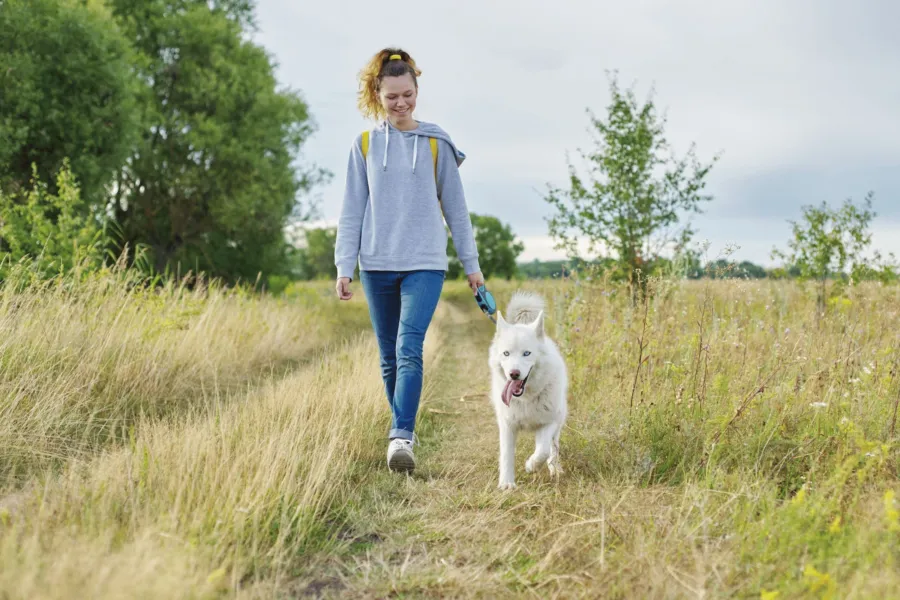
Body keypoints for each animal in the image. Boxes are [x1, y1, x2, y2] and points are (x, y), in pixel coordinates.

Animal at [488, 290, 568, 492]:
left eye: (527, 353)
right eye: (506, 353)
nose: (514, 374)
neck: (526, 398)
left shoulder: (548, 423)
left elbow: (543, 450)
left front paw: (531, 466)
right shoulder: (507, 425)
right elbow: (507, 455)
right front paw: (506, 483)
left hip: (559, 419)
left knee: (553, 448)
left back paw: (555, 468)